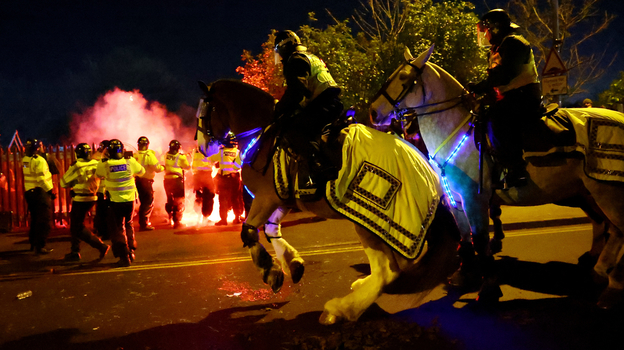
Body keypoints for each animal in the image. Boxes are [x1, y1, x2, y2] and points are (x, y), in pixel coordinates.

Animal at [197, 79, 460, 322]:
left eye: (203, 114)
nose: (202, 148)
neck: (264, 135)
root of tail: (430, 175)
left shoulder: (266, 198)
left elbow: (249, 231)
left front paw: (272, 272)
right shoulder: (282, 200)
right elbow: (272, 229)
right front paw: (293, 265)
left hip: (367, 224)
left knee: (387, 272)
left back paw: (340, 309)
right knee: (396, 269)